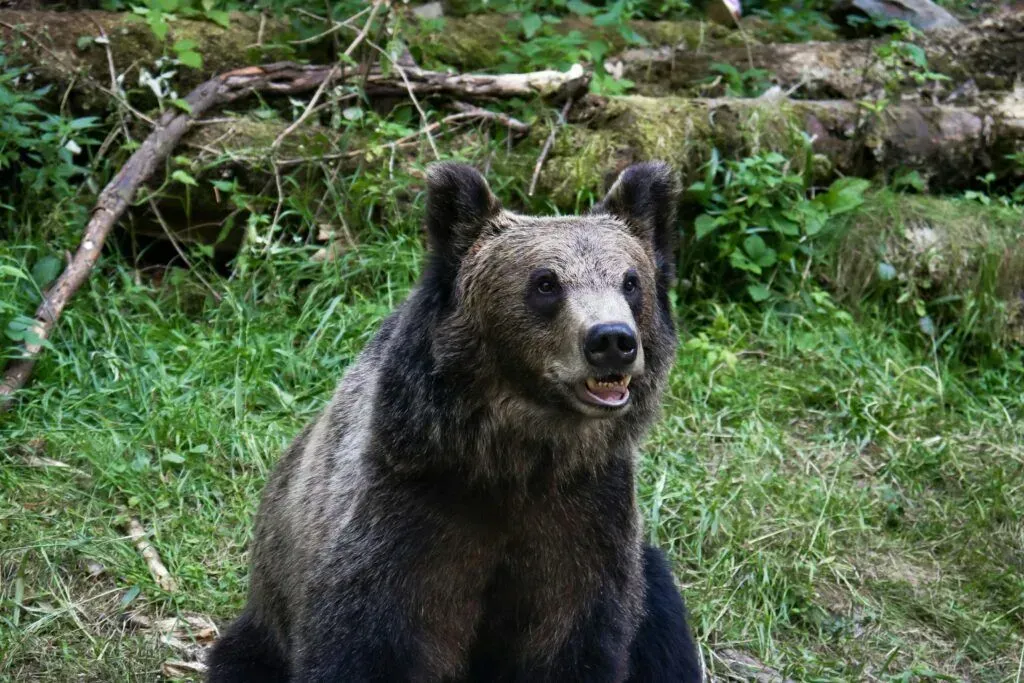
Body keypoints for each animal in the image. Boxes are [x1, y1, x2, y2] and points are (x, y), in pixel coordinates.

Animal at [206, 161, 702, 683]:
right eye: (546, 282)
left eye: (630, 281)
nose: (612, 340)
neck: (515, 455)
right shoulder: (407, 515)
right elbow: (367, 641)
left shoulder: (586, 518)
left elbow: (577, 638)